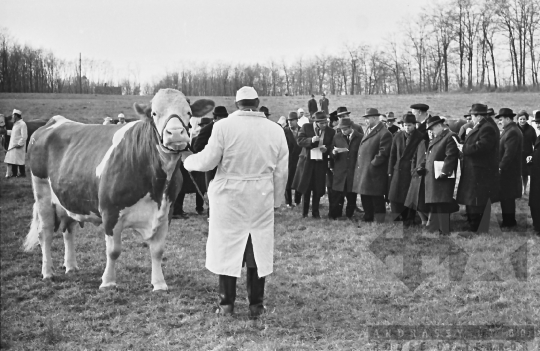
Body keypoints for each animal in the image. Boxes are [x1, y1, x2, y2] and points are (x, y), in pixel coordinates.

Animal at [23, 88, 214, 292]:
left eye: (189, 113)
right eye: (154, 113)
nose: (176, 133)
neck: (155, 184)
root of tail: (55, 121)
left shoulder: (165, 212)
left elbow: (157, 250)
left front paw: (159, 284)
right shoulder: (110, 212)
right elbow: (113, 251)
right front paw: (108, 282)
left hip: (68, 197)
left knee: (69, 229)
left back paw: (71, 266)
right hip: (42, 194)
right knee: (45, 233)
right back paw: (47, 272)